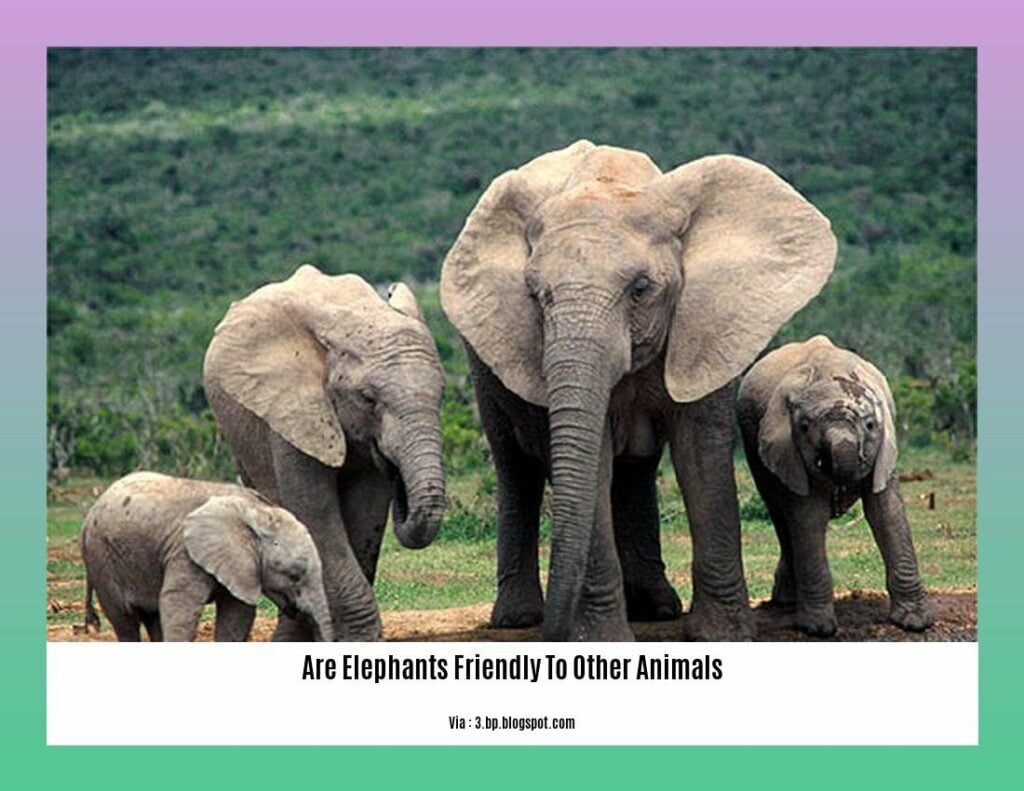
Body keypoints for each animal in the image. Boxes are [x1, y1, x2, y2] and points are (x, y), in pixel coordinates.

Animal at [80, 472, 334, 642]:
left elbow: (237, 614)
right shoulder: (185, 552)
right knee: (125, 620)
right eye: (294, 576)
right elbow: (179, 604)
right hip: (101, 559)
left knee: (152, 616)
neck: (257, 511)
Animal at [203, 265, 446, 641]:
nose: (397, 474)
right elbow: (315, 509)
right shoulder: (290, 410)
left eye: (442, 394)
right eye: (368, 398)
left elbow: (365, 509)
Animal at [440, 140, 836, 641]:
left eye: (642, 288)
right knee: (517, 466)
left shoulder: (705, 323)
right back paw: (519, 618)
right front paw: (601, 639)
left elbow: (699, 454)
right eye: (535, 296)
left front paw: (724, 635)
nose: (556, 632)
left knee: (637, 468)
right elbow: (592, 462)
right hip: (481, 359)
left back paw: (656, 608)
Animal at [737, 335, 935, 636]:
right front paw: (818, 629)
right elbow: (810, 517)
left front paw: (915, 622)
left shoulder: (884, 449)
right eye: (805, 427)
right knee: (779, 512)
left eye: (870, 425)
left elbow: (886, 514)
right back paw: (786, 602)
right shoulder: (789, 450)